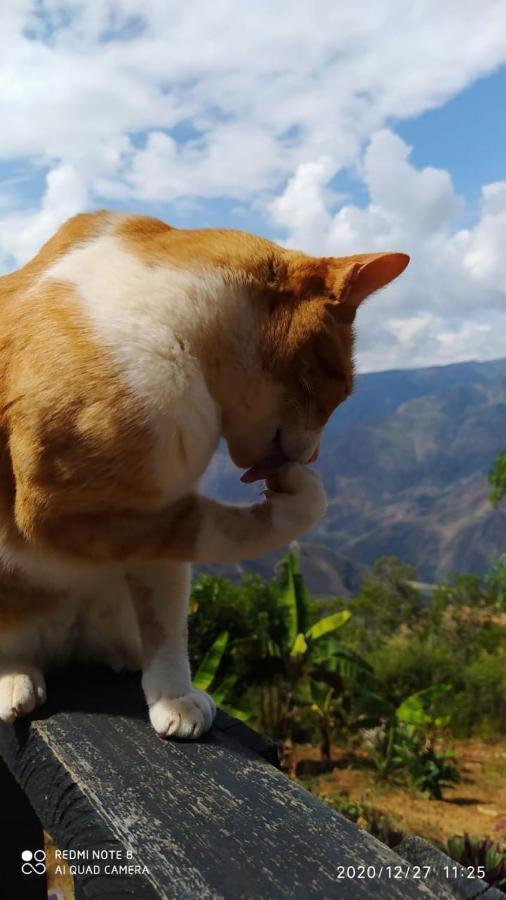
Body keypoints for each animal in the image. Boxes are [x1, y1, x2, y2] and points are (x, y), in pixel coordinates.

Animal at [0, 213, 408, 740]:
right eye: (337, 388)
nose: (316, 455)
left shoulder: (157, 515)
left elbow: (168, 621)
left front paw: (172, 696)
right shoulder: (60, 511)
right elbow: (229, 528)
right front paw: (298, 495)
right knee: (18, 645)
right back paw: (16, 679)